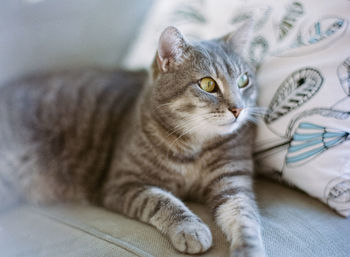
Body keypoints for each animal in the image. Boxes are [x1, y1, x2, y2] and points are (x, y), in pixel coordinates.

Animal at [0, 22, 266, 256]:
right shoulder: (122, 183)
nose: (239, 109)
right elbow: (162, 200)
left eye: (244, 81)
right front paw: (191, 229)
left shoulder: (233, 184)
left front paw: (249, 249)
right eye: (208, 84)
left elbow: (245, 218)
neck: (195, 145)